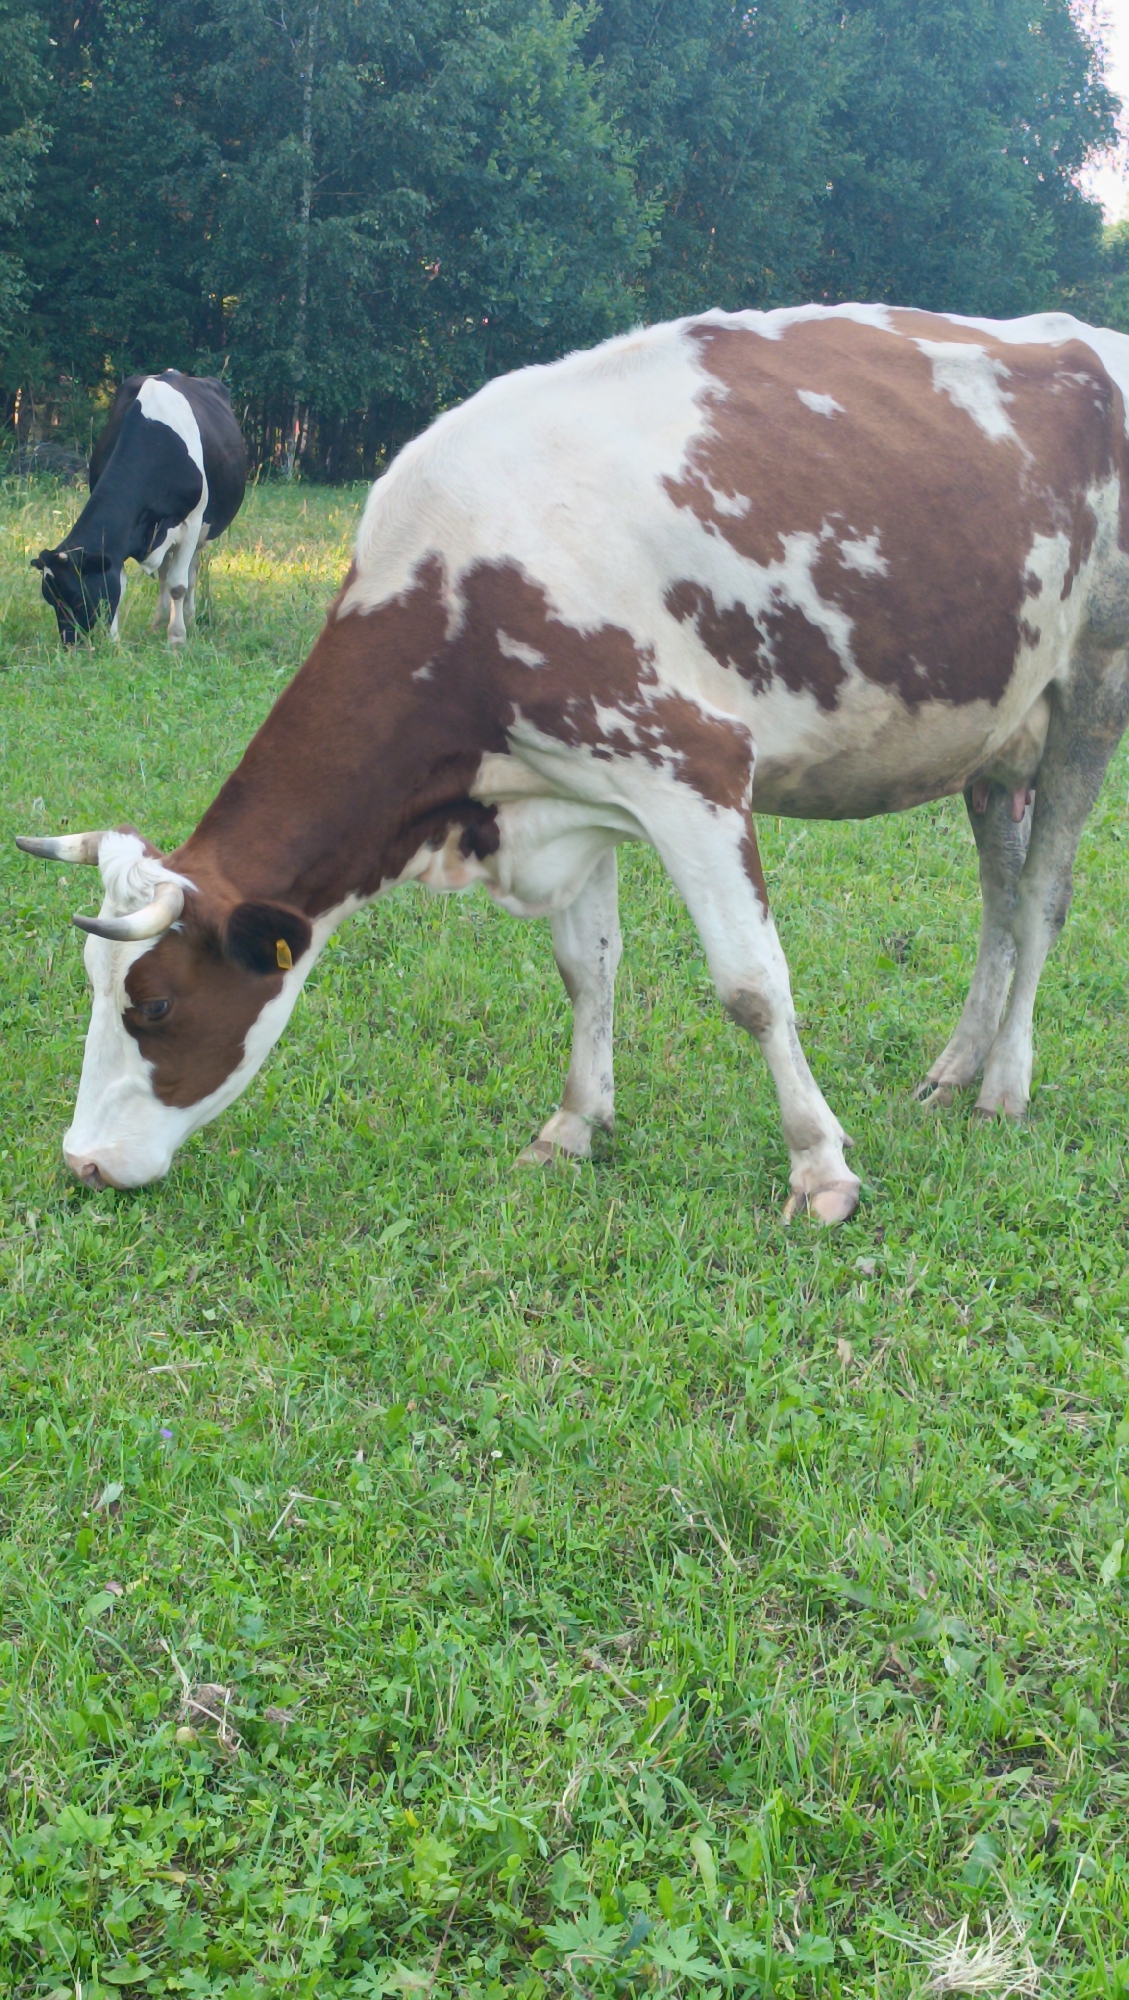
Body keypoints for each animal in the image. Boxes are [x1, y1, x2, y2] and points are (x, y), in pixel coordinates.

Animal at [31, 371, 247, 647]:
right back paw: (159, 622)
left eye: (79, 598)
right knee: (165, 574)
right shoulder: (118, 542)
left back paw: (188, 618)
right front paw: (114, 641)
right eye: (51, 600)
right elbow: (120, 584)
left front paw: (177, 639)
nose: (70, 643)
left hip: (201, 532)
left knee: (190, 573)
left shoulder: (191, 523)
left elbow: (179, 584)